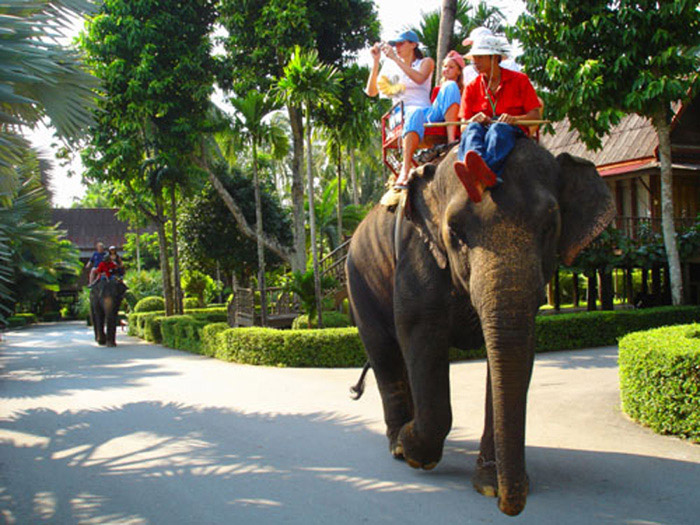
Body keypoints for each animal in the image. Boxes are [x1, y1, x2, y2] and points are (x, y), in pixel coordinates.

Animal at [348, 136, 616, 516]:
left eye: (550, 227)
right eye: (455, 233)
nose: (512, 506)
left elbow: (513, 349)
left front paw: (489, 485)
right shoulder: (418, 256)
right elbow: (421, 333)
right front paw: (416, 451)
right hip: (358, 279)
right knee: (384, 352)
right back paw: (398, 445)